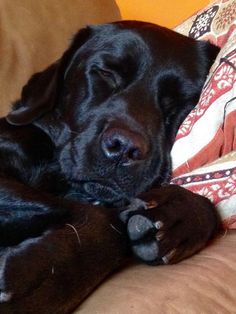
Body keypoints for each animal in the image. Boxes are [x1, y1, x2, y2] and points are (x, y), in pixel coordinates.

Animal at [0, 20, 221, 312]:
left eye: (183, 101)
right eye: (105, 72)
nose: (124, 148)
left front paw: (184, 213)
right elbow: (98, 215)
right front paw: (42, 281)